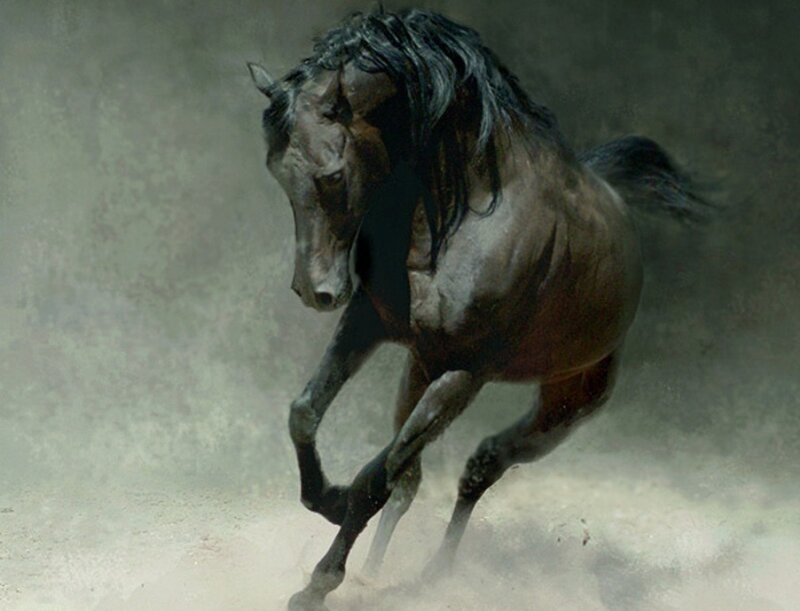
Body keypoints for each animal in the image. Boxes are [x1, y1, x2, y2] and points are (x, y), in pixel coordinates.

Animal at [247, 7, 711, 609]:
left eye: (333, 174)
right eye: (276, 171)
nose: (315, 291)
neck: (461, 212)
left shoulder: (465, 371)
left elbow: (379, 475)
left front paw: (317, 582)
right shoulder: (369, 323)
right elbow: (306, 414)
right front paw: (326, 498)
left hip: (564, 405)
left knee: (480, 466)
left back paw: (438, 575)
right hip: (419, 369)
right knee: (418, 479)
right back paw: (379, 572)